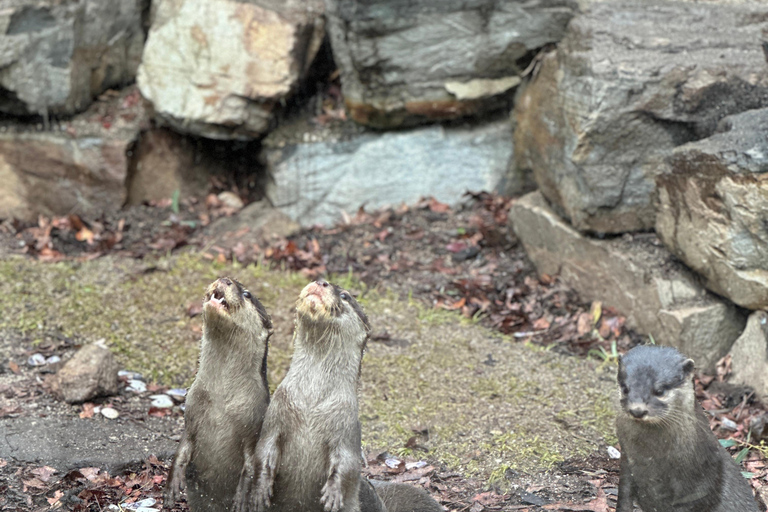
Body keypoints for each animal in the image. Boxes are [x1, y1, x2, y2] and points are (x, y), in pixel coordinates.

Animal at [164, 278, 272, 512]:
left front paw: (241, 498)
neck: (222, 400)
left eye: (247, 294)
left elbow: (251, 466)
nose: (225, 280)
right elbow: (181, 448)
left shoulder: (255, 422)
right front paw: (172, 484)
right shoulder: (192, 412)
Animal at [249, 280, 372, 512]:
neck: (311, 404)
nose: (321, 281)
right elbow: (262, 451)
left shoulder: (347, 427)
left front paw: (333, 494)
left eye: (345, 296)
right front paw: (260, 490)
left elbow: (349, 465)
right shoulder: (276, 415)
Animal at [616, 344, 760, 512]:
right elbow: (624, 493)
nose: (637, 410)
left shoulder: (699, 485)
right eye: (625, 388)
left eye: (659, 391)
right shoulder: (626, 459)